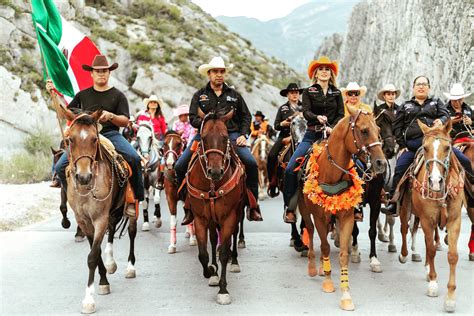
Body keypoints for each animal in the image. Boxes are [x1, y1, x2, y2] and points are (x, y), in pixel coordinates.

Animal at [60, 110, 135, 312]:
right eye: (70, 139)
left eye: (94, 139)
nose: (84, 176)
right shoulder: (84, 220)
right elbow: (95, 250)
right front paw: (103, 281)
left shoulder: (100, 218)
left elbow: (93, 256)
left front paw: (88, 300)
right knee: (112, 230)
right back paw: (110, 264)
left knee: (131, 232)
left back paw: (130, 267)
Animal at [185, 108, 244, 304]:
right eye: (203, 137)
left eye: (225, 137)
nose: (215, 171)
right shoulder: (200, 218)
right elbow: (202, 253)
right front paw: (211, 272)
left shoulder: (228, 217)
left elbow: (224, 251)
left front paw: (223, 290)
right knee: (212, 239)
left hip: (238, 213)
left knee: (234, 235)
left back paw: (235, 262)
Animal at [298, 105, 386, 312]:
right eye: (364, 130)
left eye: (378, 130)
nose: (381, 163)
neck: (330, 172)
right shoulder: (319, 217)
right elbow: (325, 247)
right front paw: (328, 282)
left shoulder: (347, 217)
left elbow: (344, 254)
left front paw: (346, 295)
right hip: (305, 210)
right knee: (311, 232)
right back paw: (313, 266)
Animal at [398, 119, 464, 312]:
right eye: (425, 148)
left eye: (448, 147)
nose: (435, 181)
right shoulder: (427, 219)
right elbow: (432, 249)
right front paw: (433, 284)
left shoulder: (454, 220)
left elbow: (452, 255)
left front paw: (450, 297)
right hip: (405, 208)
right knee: (405, 229)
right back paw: (404, 255)